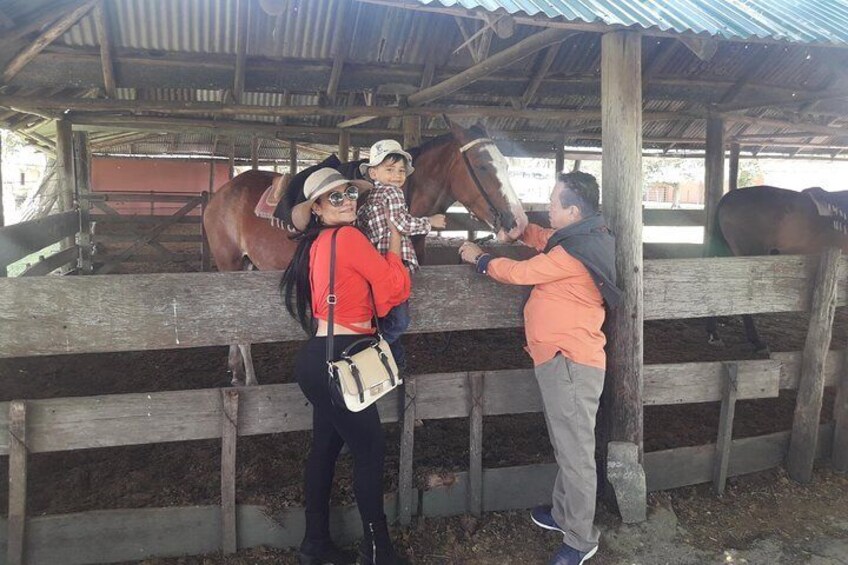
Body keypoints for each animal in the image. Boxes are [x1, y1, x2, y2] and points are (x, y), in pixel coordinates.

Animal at [202, 121, 528, 386]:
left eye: (506, 165)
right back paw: (249, 379)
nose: (519, 224)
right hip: (230, 265)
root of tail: (221, 194)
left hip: (247, 267)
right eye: (483, 166)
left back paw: (235, 370)